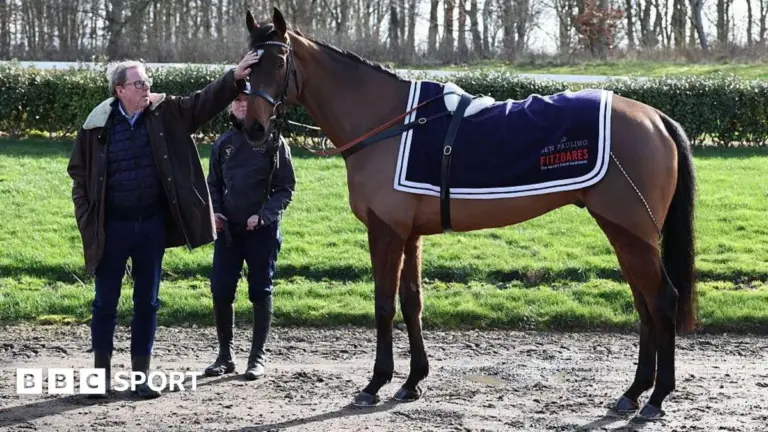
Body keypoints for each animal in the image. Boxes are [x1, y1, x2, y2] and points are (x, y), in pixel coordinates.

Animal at [240, 7, 697, 422]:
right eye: (247, 64)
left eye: (277, 63)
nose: (254, 129)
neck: (391, 124)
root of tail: (655, 117)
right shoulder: (410, 234)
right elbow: (412, 301)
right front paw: (412, 382)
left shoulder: (385, 232)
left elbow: (384, 304)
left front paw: (375, 383)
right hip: (624, 233)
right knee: (644, 305)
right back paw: (633, 393)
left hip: (632, 233)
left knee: (662, 300)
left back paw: (656, 398)